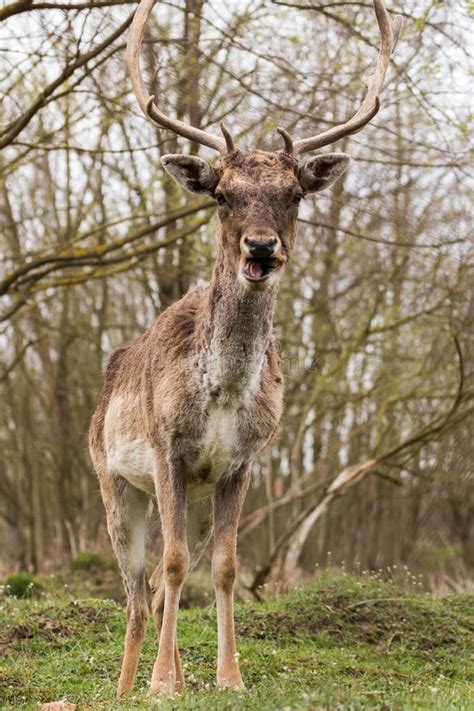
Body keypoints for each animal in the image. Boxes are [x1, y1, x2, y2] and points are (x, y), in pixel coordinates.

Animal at [88, 0, 400, 700]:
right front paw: (162, 686)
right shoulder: (167, 449)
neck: (224, 394)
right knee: (135, 586)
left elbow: (225, 569)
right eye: (222, 194)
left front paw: (228, 678)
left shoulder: (241, 463)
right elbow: (174, 565)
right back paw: (126, 685)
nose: (260, 246)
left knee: (155, 583)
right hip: (113, 480)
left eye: (295, 195)